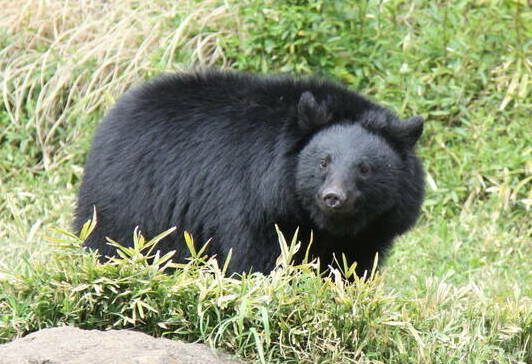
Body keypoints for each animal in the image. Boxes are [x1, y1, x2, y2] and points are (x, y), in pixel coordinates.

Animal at [74, 70, 424, 276]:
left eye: (365, 168)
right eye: (324, 162)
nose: (333, 198)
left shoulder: (370, 231)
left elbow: (353, 267)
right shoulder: (253, 199)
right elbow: (256, 257)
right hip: (130, 202)